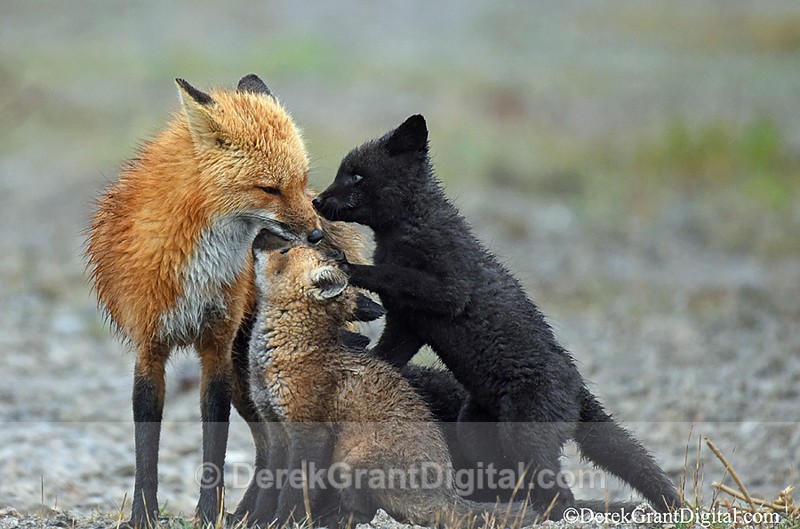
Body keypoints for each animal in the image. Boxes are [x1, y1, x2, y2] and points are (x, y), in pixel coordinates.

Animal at [84, 74, 366, 528]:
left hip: (247, 370)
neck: (201, 262)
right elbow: (146, 443)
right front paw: (144, 513)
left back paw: (260, 514)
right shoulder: (150, 345)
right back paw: (252, 514)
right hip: (246, 377)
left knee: (275, 446)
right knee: (271, 445)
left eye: (301, 181)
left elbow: (214, 447)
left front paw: (206, 512)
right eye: (269, 189)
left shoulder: (217, 345)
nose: (317, 236)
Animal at [247, 229, 540, 528]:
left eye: (284, 251)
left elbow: (294, 491)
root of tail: (447, 495)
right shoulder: (276, 429)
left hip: (351, 458)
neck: (290, 348)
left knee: (365, 511)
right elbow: (268, 487)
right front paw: (257, 520)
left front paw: (282, 521)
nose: (262, 232)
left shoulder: (310, 433)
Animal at [313, 114, 682, 519]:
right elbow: (386, 353)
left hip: (524, 433)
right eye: (342, 173)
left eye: (356, 176)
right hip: (474, 428)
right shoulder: (407, 324)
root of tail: (577, 387)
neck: (410, 228)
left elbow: (391, 275)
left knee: (560, 493)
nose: (316, 200)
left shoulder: (447, 291)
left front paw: (345, 264)